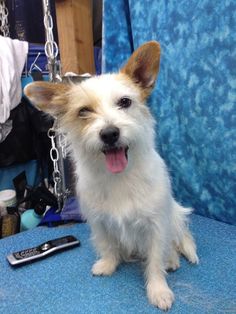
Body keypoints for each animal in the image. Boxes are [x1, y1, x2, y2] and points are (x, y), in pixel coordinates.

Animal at [24, 42, 198, 312]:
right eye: (84, 111)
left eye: (125, 102)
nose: (109, 133)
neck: (119, 177)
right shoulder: (98, 220)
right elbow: (107, 244)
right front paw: (108, 263)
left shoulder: (157, 225)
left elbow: (155, 258)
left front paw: (158, 289)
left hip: (176, 214)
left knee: (176, 240)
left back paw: (172, 258)